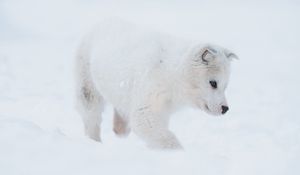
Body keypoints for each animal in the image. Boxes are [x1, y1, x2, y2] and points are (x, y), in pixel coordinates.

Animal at [75, 19, 237, 150]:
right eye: (213, 83)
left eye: (225, 86)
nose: (225, 109)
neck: (171, 71)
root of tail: (102, 22)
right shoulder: (148, 99)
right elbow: (157, 132)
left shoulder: (163, 110)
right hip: (87, 84)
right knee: (91, 116)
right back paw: (94, 142)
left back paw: (119, 127)